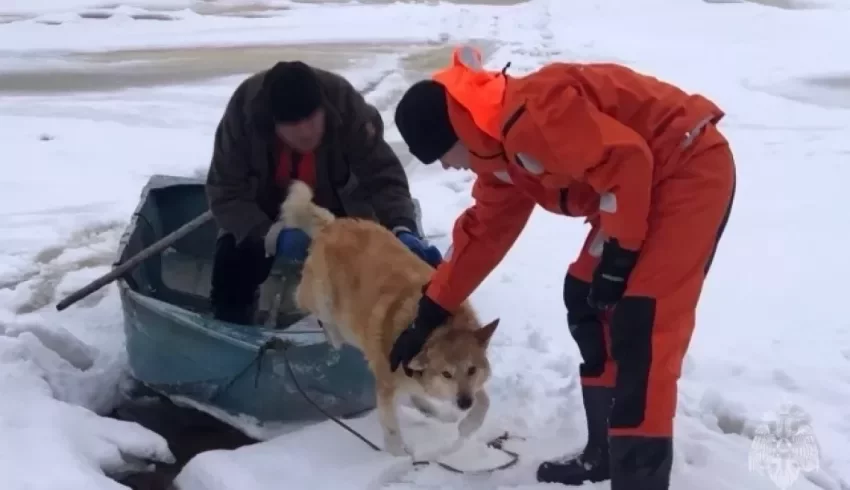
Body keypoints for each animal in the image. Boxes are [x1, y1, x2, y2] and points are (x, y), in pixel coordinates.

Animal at [274, 182, 500, 458]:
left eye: (471, 369)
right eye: (446, 374)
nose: (464, 402)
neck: (430, 329)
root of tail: (333, 225)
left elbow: (484, 401)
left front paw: (467, 425)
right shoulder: (385, 384)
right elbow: (391, 427)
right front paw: (398, 455)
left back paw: (435, 411)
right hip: (322, 299)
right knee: (313, 309)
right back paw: (334, 337)